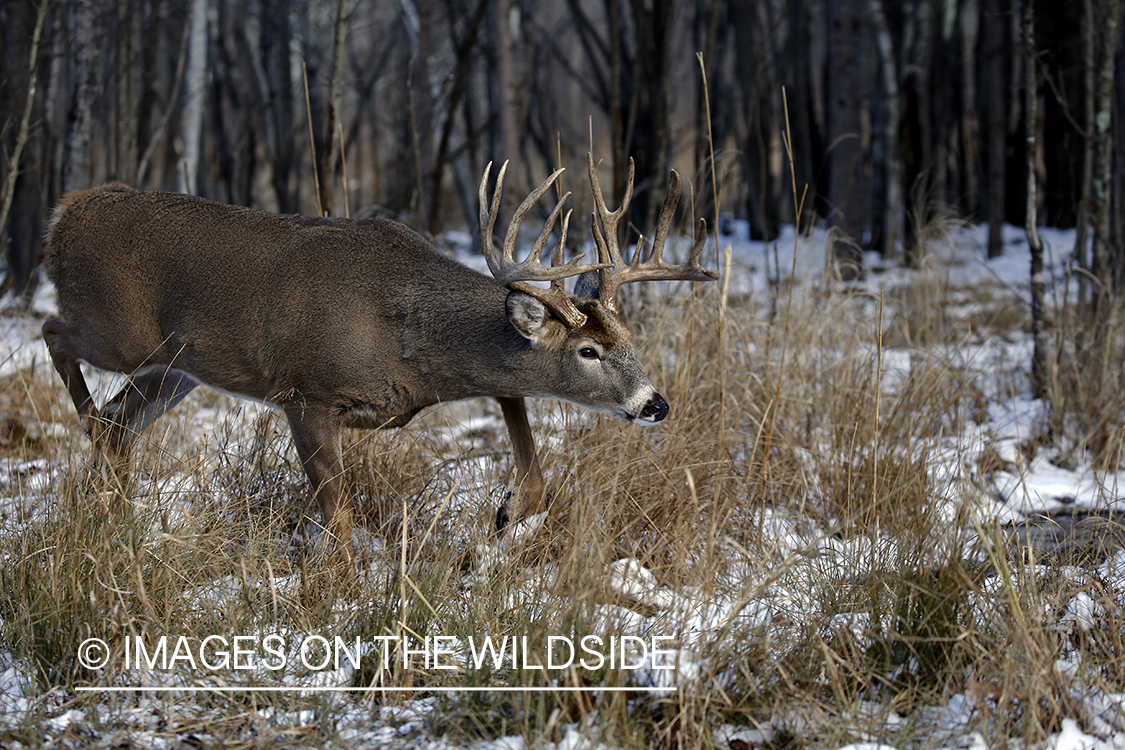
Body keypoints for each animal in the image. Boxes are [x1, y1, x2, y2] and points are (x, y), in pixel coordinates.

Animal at [41, 154, 720, 580]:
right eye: (588, 352)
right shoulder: (306, 392)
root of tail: (65, 211)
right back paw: (90, 452)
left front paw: (500, 519)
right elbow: (339, 517)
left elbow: (527, 452)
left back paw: (109, 506)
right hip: (122, 333)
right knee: (56, 337)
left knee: (118, 423)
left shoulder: (455, 389)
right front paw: (342, 594)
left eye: (628, 337)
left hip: (177, 369)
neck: (406, 336)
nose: (654, 403)